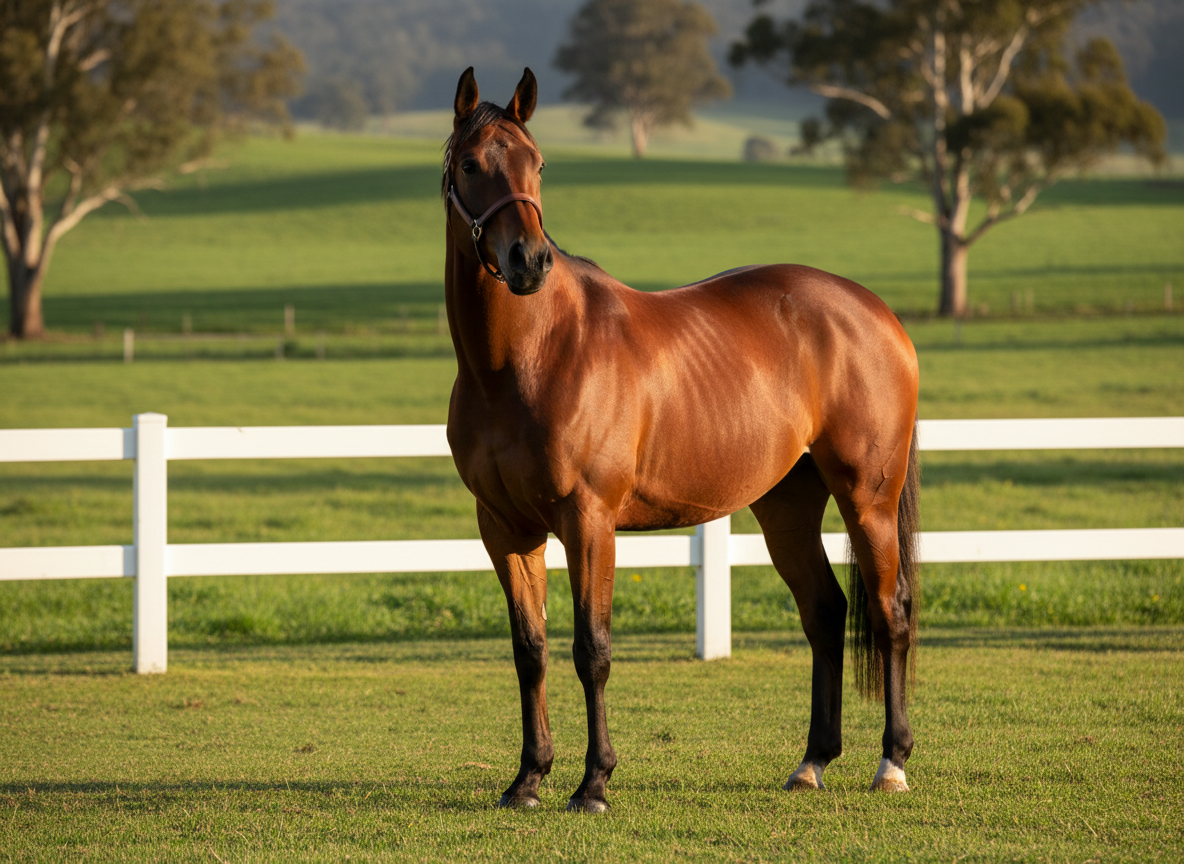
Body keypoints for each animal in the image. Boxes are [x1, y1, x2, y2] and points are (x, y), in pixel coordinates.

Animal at [442, 67, 921, 812]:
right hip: (787, 506)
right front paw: (527, 779)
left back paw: (891, 762)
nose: (529, 261)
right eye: (470, 164)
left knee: (890, 612)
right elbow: (530, 650)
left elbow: (591, 650)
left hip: (868, 497)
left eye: (537, 164)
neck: (530, 357)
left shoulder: (589, 522)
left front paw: (594, 783)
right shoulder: (504, 528)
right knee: (824, 612)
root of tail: (876, 313)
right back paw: (812, 761)